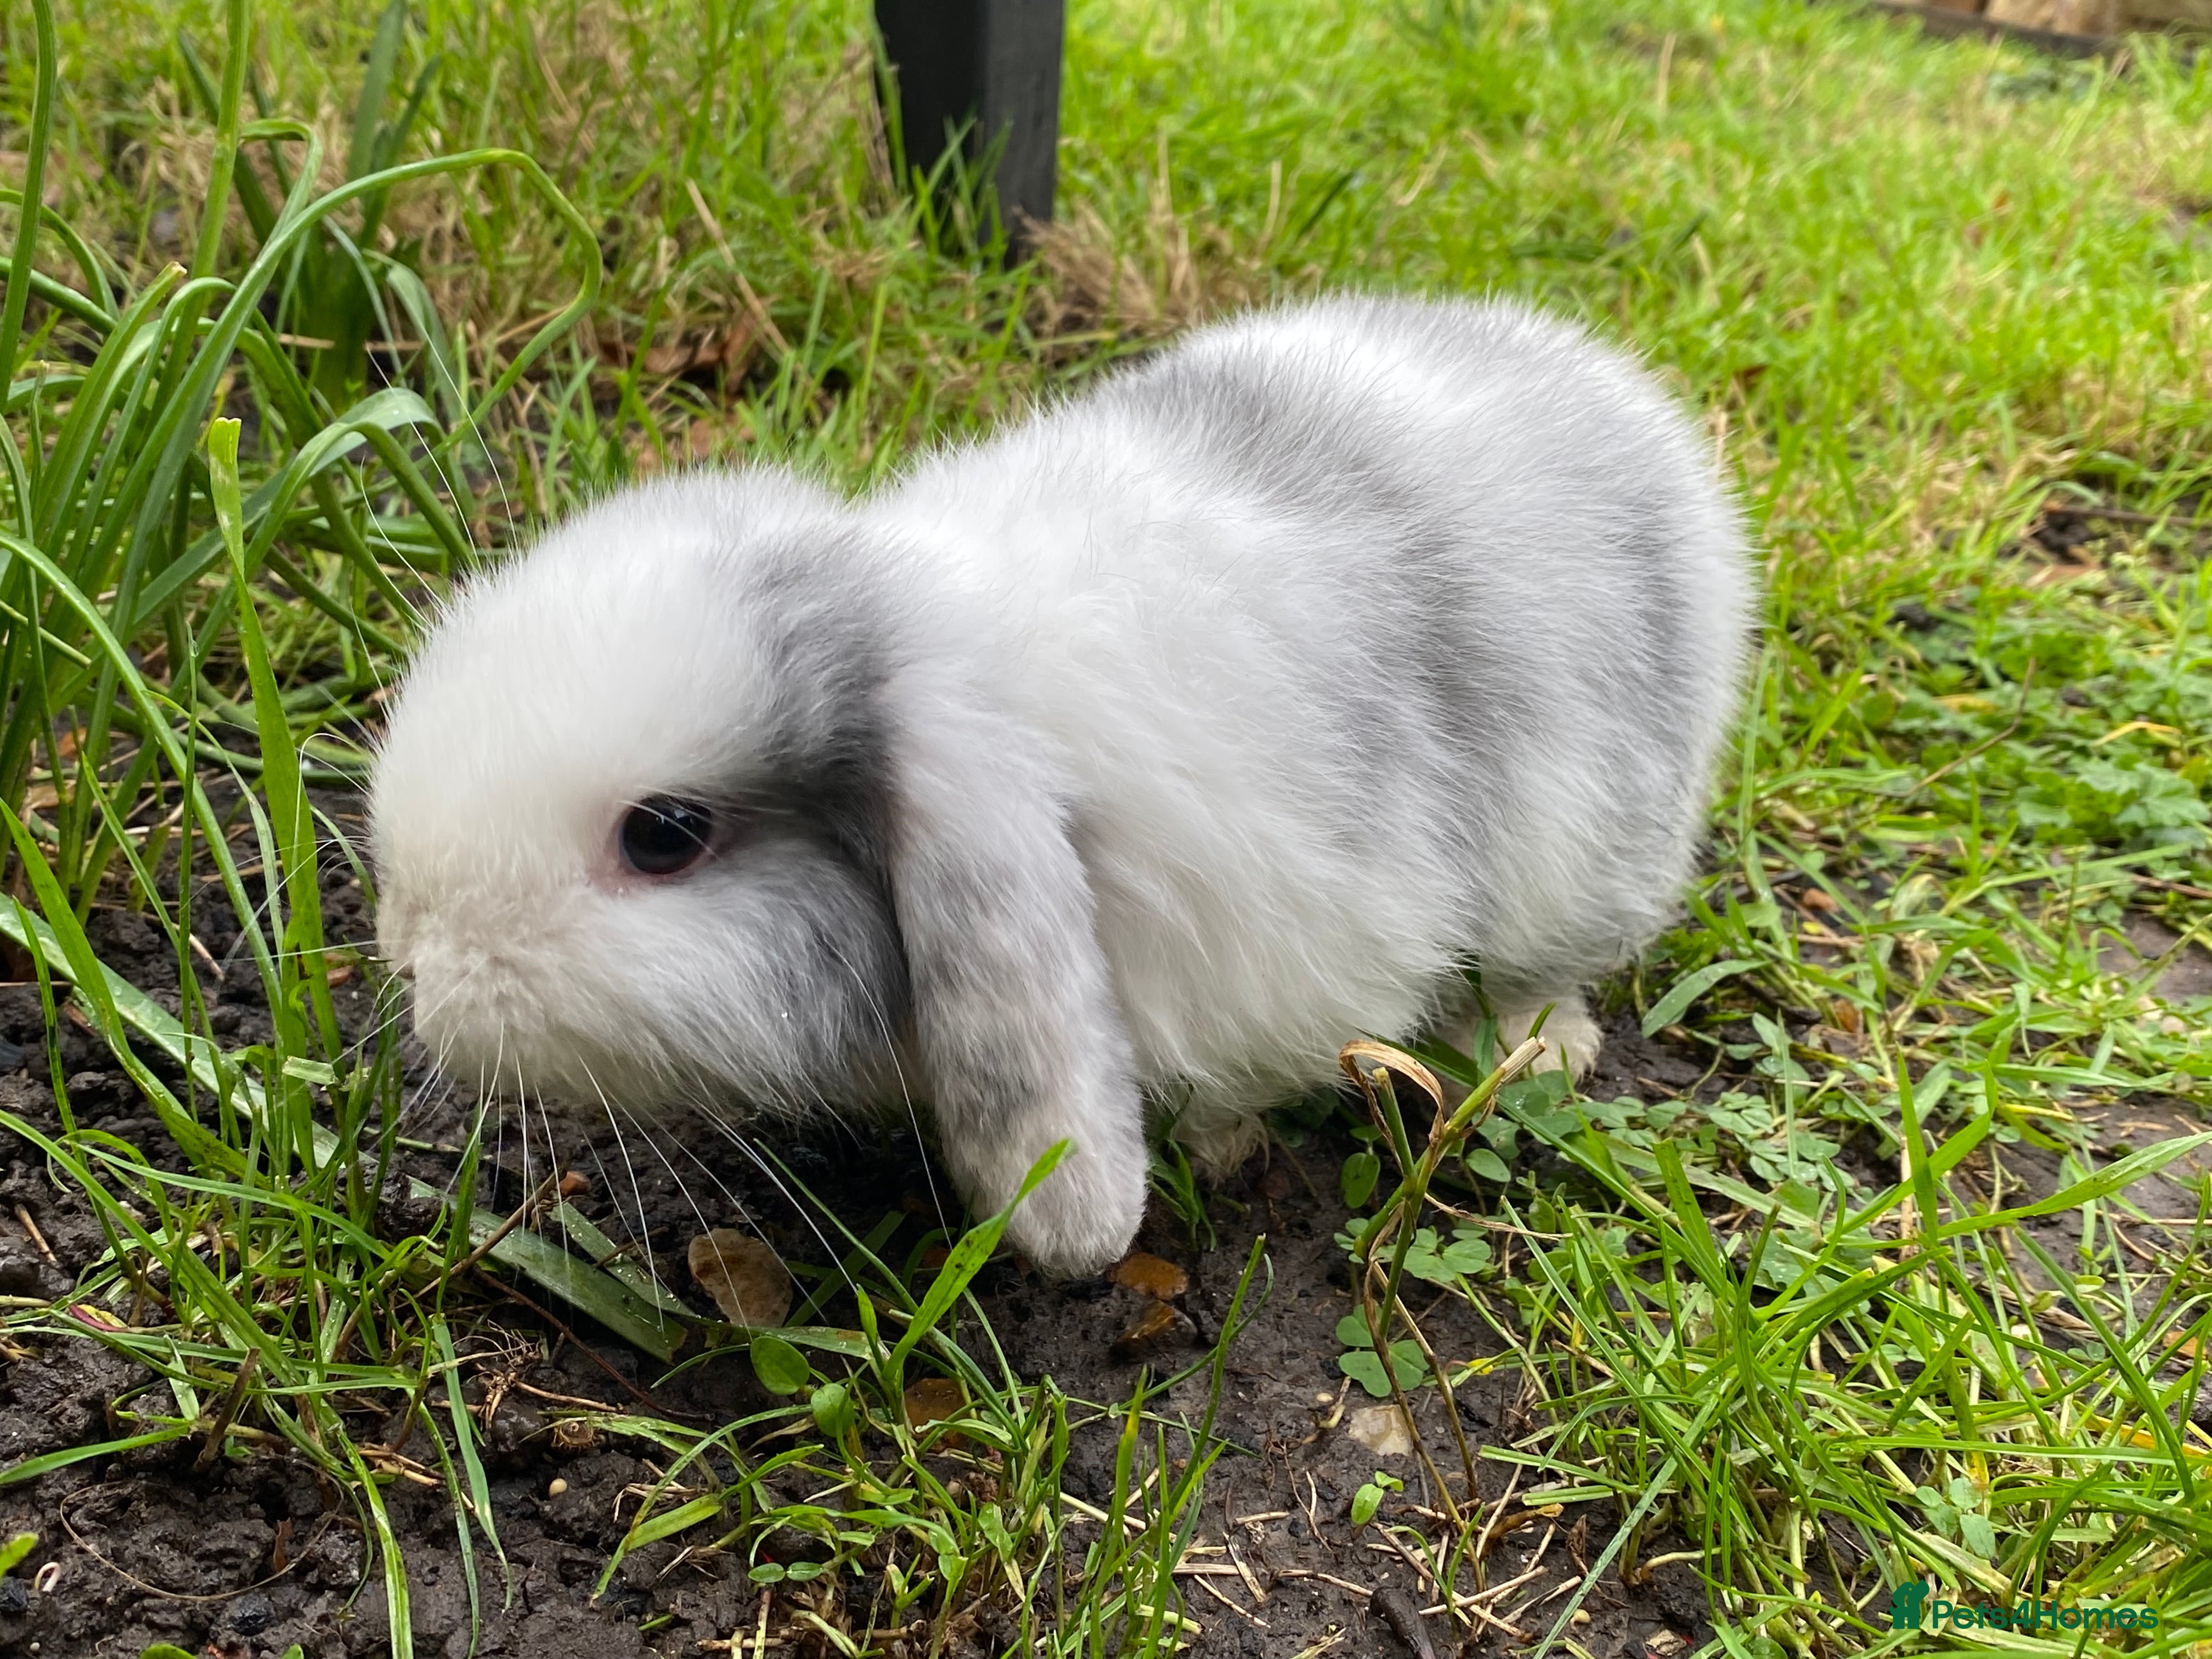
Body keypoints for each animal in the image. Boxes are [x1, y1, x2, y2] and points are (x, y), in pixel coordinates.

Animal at [369, 293, 1755, 1276]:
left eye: (665, 835)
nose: (412, 959)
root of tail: (1633, 413)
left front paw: (1217, 1152)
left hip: (1592, 840)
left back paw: (1541, 1048)